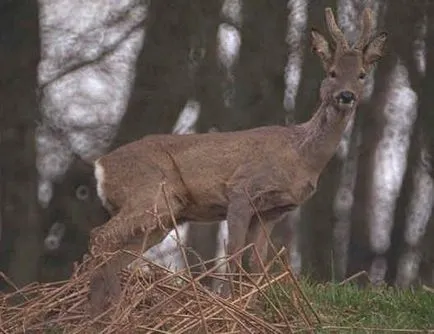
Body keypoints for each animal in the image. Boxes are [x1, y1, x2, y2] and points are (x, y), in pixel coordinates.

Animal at [87, 7, 386, 316]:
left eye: (362, 74)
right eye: (332, 72)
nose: (346, 96)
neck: (300, 157)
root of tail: (101, 165)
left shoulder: (272, 212)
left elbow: (257, 261)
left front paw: (252, 306)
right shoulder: (241, 190)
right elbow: (232, 251)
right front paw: (230, 305)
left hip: (163, 217)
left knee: (117, 253)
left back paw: (104, 310)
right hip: (149, 195)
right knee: (101, 236)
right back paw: (104, 310)